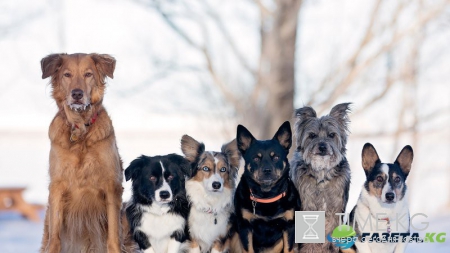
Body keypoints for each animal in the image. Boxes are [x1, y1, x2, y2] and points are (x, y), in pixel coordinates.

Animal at [38, 53, 122, 253]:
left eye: (88, 74)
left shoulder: (111, 186)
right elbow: (54, 239)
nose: (77, 94)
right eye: (67, 74)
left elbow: (113, 238)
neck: (80, 129)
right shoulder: (57, 185)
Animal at [232, 121, 302, 252]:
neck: (267, 196)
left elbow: (288, 249)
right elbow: (248, 249)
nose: (267, 170)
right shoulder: (245, 226)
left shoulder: (289, 225)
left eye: (276, 157)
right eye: (256, 158)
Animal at [290, 103, 354, 253]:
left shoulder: (335, 209)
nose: (323, 147)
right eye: (312, 135)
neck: (322, 176)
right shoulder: (306, 207)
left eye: (331, 135)